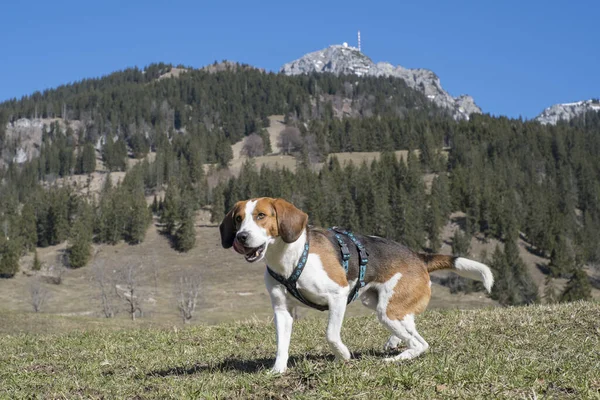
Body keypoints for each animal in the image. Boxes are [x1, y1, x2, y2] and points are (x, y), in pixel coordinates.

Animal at [220, 198, 492, 374]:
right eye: (238, 219)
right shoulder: (282, 310)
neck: (288, 257)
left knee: (420, 344)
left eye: (261, 216)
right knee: (411, 328)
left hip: (385, 312)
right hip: (380, 303)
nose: (241, 237)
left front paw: (343, 355)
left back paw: (396, 359)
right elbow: (281, 345)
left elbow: (331, 334)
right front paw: (278, 370)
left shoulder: (338, 295)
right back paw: (395, 343)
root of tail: (418, 256)